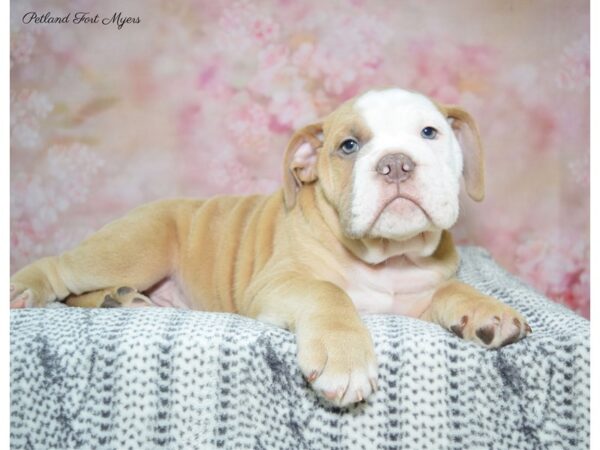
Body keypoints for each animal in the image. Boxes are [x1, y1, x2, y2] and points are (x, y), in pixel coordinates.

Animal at [11, 88, 532, 408]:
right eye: (348, 146)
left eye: (429, 133)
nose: (396, 163)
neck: (389, 257)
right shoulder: (277, 283)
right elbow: (329, 293)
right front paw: (345, 358)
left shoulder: (421, 293)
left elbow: (451, 290)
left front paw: (486, 310)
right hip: (138, 245)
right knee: (61, 270)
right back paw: (31, 289)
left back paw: (118, 300)